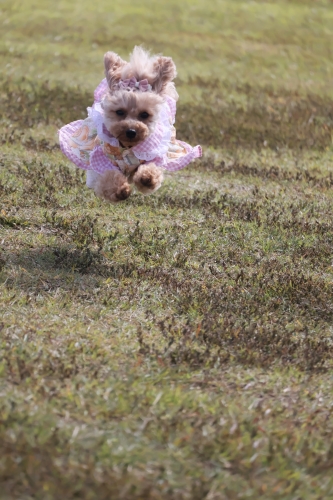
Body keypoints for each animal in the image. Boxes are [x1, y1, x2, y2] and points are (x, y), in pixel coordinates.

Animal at [58, 46, 201, 202]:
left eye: (144, 114)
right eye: (120, 111)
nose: (131, 131)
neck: (127, 146)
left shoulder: (154, 155)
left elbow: (152, 168)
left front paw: (147, 178)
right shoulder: (101, 160)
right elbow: (108, 178)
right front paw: (121, 190)